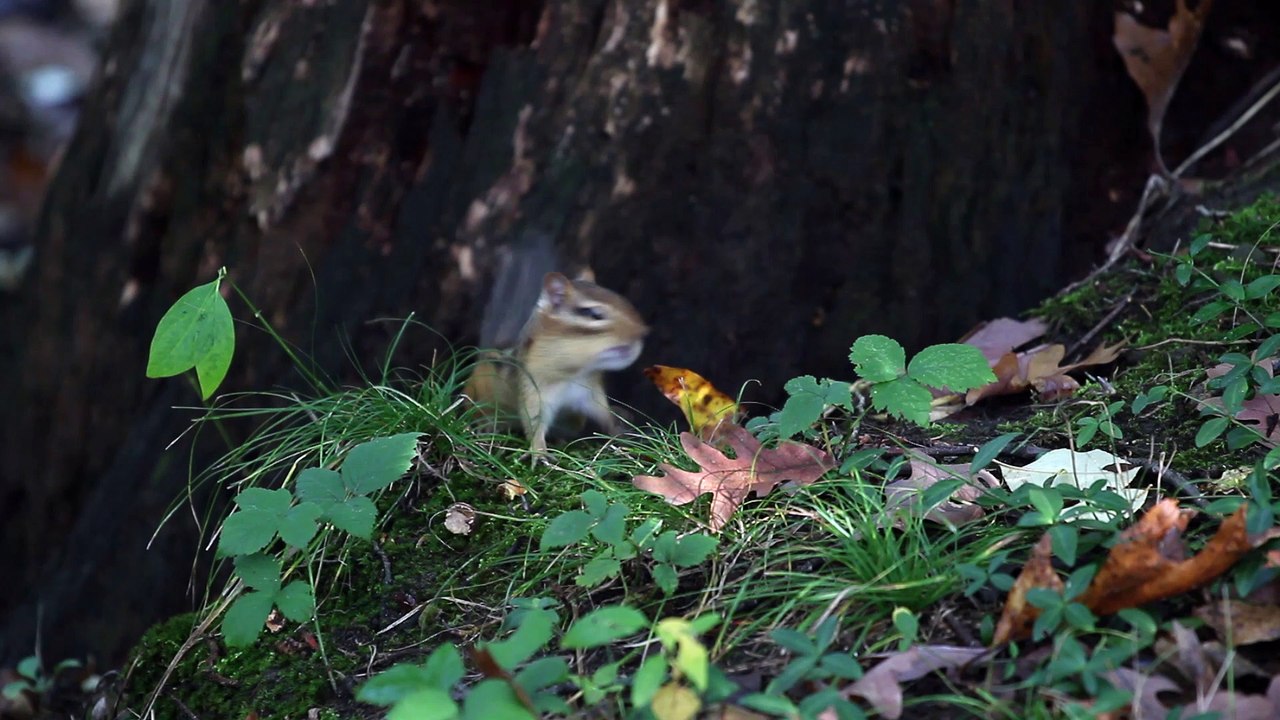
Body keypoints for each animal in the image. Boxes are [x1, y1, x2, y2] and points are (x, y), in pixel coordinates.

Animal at [463, 234, 649, 454]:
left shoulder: (590, 394)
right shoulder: (534, 390)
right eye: (594, 314)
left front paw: (620, 430)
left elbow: (604, 413)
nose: (642, 331)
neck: (571, 374)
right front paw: (539, 452)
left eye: (622, 299)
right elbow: (533, 422)